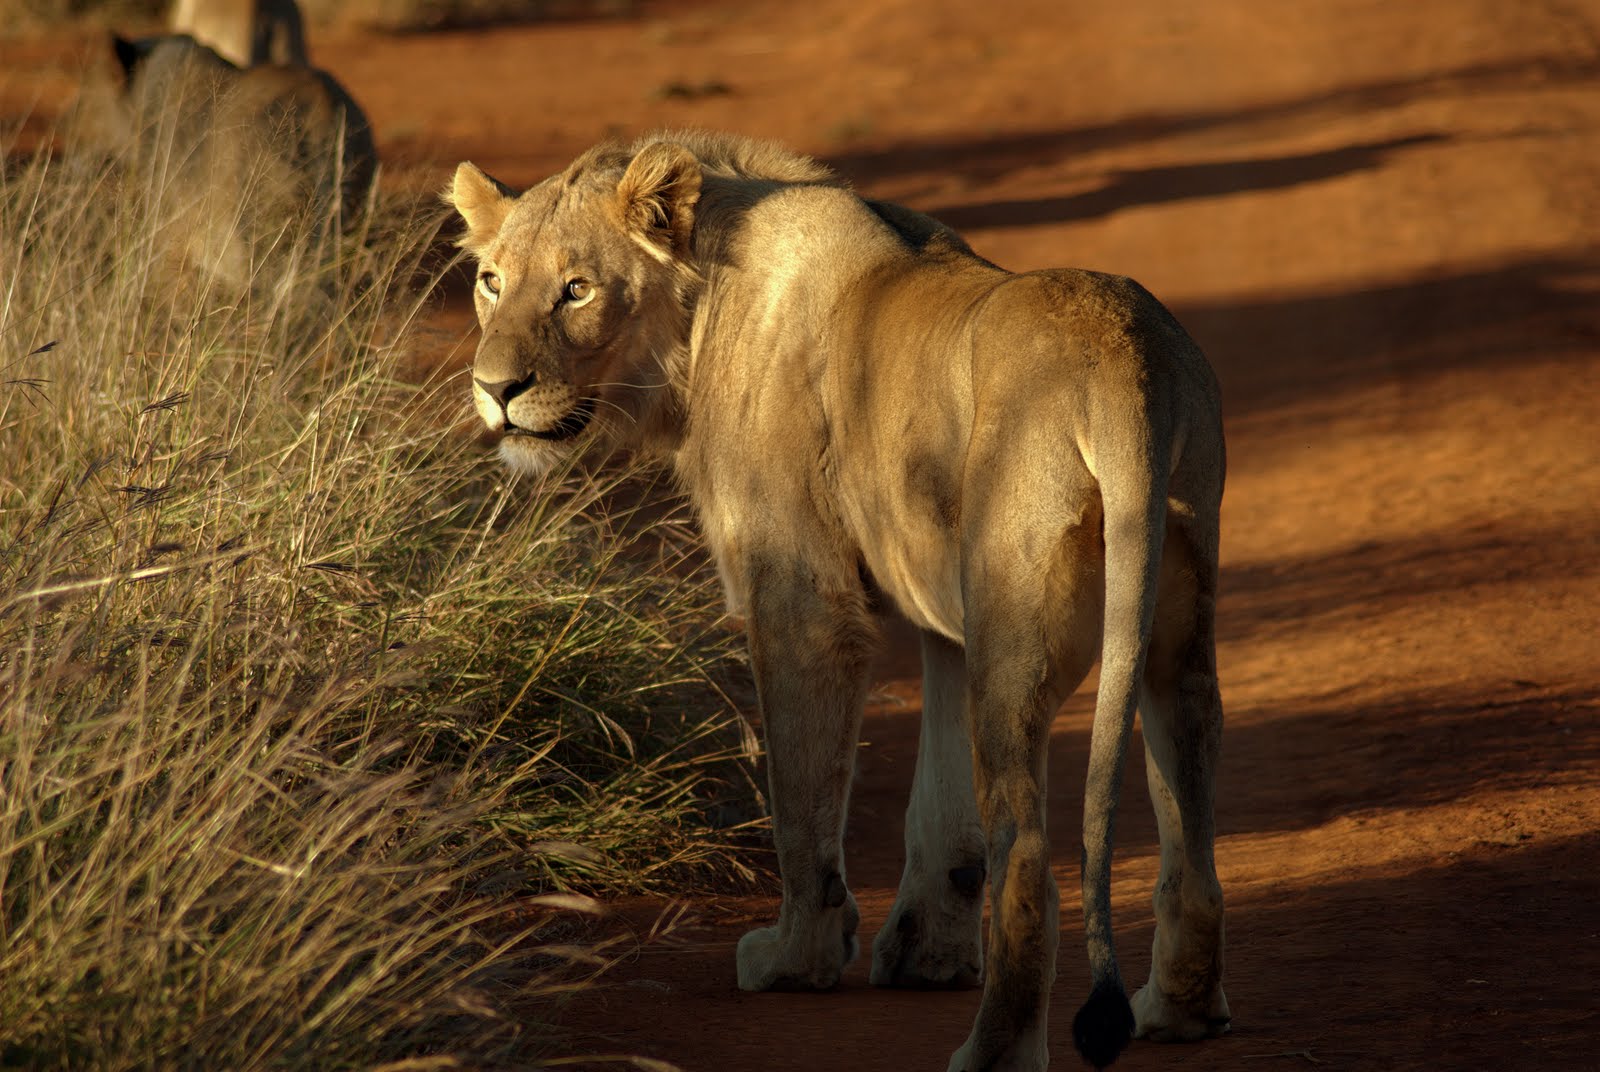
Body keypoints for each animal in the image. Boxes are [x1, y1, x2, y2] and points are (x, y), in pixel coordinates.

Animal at [451, 130, 1235, 1068]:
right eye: (490, 281)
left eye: (576, 289)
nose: (495, 389)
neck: (699, 314)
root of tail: (1125, 369)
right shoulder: (946, 620)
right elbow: (941, 815)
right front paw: (926, 957)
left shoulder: (800, 598)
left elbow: (800, 796)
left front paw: (798, 958)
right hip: (1168, 629)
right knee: (1192, 841)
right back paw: (1178, 1012)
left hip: (1017, 639)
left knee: (1029, 864)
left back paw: (992, 1052)